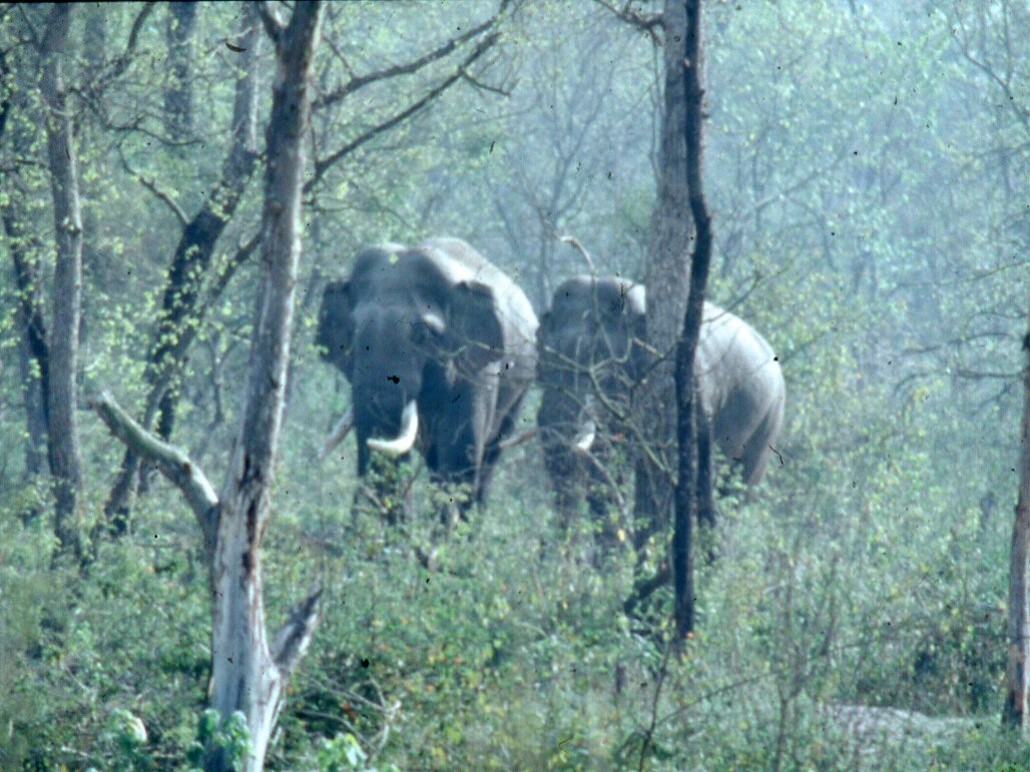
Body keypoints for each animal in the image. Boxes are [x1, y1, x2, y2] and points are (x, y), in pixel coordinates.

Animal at [315, 235, 539, 514]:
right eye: (353, 333)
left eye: (422, 336)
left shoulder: (478, 370)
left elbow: (461, 448)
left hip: (520, 389)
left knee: (489, 454)